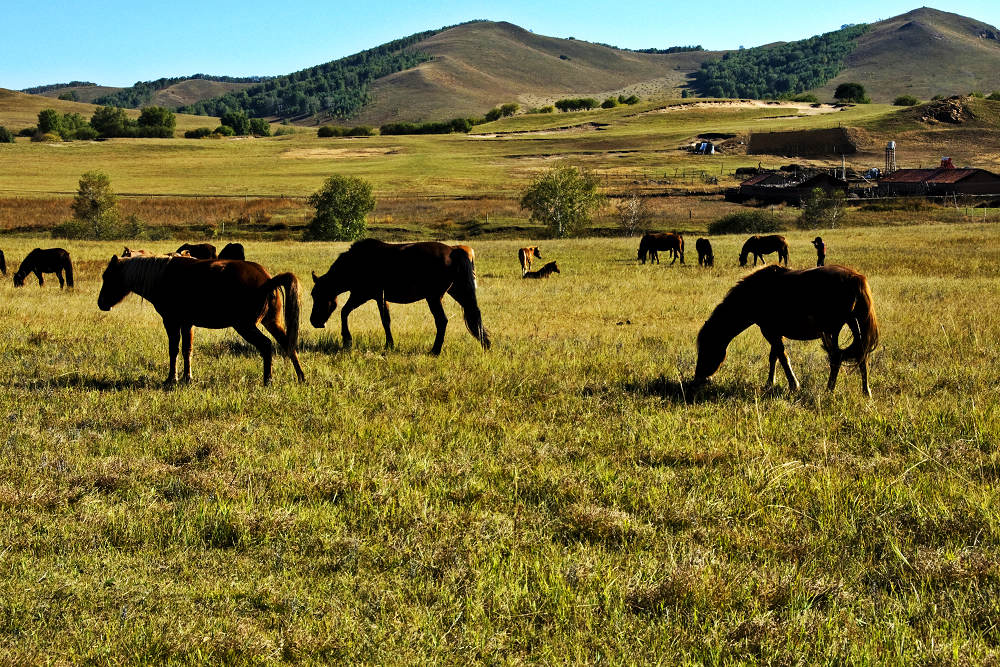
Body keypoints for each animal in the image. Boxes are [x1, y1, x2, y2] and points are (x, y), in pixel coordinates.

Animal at [100, 254, 308, 386]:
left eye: (107, 276)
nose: (101, 303)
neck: (162, 276)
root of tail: (268, 279)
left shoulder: (171, 321)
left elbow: (174, 350)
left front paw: (171, 379)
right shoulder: (187, 323)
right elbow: (187, 350)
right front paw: (187, 378)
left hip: (245, 326)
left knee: (266, 346)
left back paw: (268, 380)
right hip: (272, 323)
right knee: (289, 345)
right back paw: (301, 377)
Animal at [308, 239, 488, 354]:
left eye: (318, 295)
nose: (314, 321)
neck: (357, 263)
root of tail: (453, 251)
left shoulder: (362, 295)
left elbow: (345, 312)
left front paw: (347, 340)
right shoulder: (379, 297)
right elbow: (385, 320)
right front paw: (389, 344)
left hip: (434, 297)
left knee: (442, 321)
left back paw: (435, 350)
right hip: (457, 292)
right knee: (474, 314)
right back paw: (485, 344)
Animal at [692, 264, 880, 396]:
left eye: (706, 349)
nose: (699, 378)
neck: (755, 293)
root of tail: (855, 278)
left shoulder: (770, 332)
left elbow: (782, 357)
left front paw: (793, 385)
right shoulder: (775, 332)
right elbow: (774, 357)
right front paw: (770, 382)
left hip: (832, 330)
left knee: (836, 358)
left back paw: (829, 389)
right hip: (854, 325)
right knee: (862, 356)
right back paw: (866, 391)